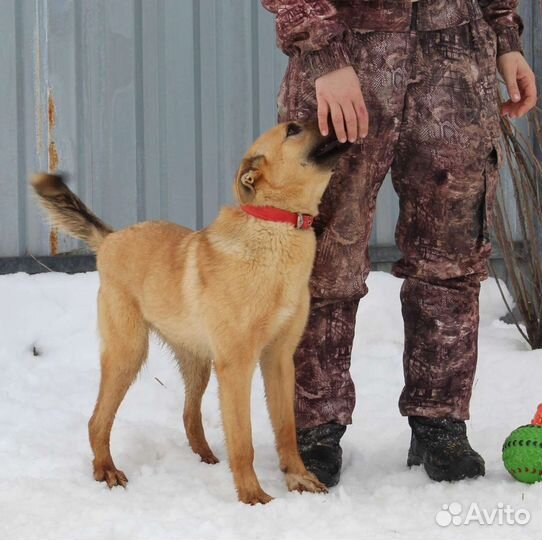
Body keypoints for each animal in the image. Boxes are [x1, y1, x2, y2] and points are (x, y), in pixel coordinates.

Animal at [30, 120, 352, 504]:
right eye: (293, 129)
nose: (336, 119)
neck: (277, 227)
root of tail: (110, 238)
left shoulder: (278, 359)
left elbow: (286, 430)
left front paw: (299, 479)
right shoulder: (237, 365)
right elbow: (242, 441)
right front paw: (251, 496)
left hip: (197, 362)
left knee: (188, 414)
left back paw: (207, 459)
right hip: (128, 353)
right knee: (97, 421)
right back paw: (106, 470)